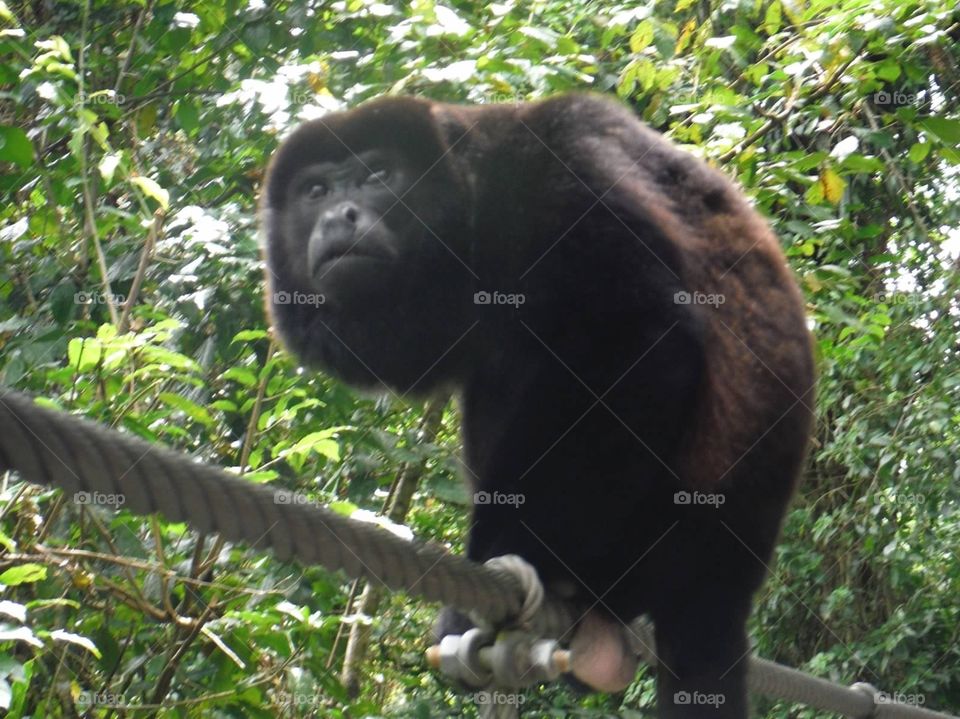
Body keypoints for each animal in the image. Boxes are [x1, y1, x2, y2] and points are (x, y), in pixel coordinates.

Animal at [260, 94, 814, 718]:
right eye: (316, 192)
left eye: (379, 174)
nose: (339, 216)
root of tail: (723, 585)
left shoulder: (549, 182)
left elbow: (641, 337)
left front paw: (518, 552)